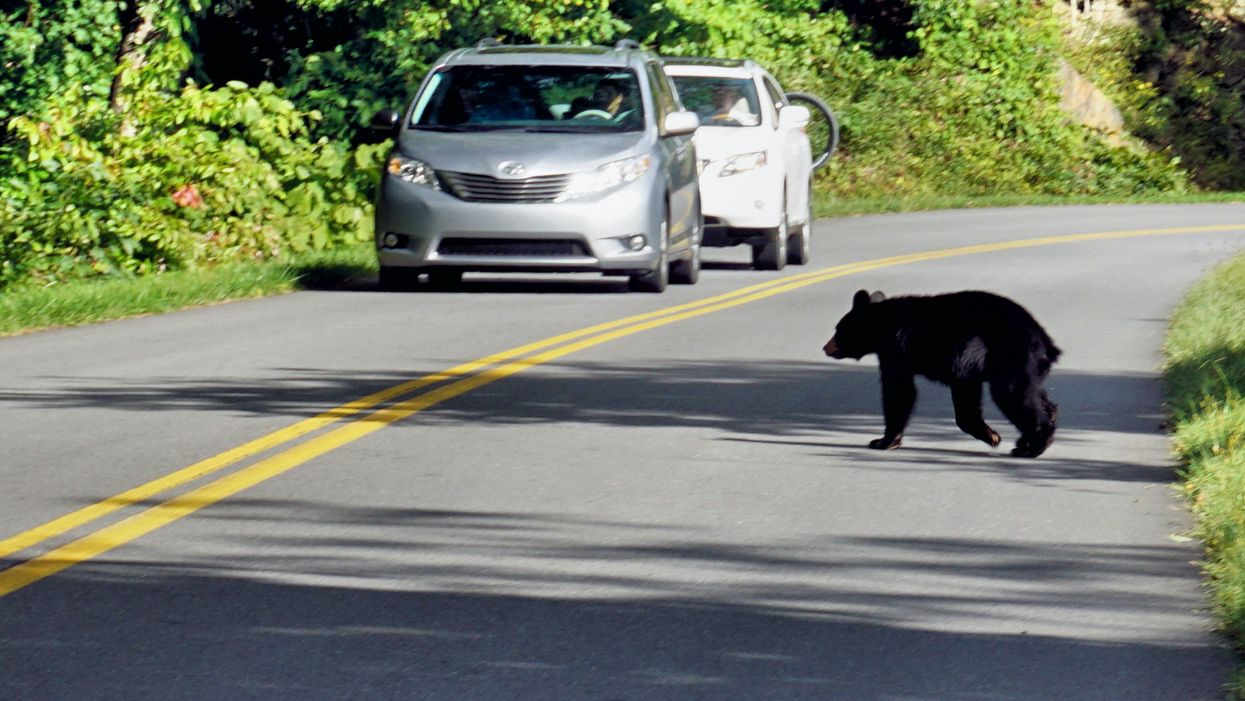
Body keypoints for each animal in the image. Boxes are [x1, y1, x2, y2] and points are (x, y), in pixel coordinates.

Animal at [822, 289, 1061, 458]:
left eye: (838, 329)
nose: (826, 347)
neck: (885, 323)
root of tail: (1046, 343)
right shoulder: (963, 370)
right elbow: (966, 398)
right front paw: (991, 434)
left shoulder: (898, 350)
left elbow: (899, 391)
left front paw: (883, 441)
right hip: (1025, 367)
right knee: (1031, 394)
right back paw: (1032, 433)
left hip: (1014, 357)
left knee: (1013, 395)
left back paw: (1034, 446)